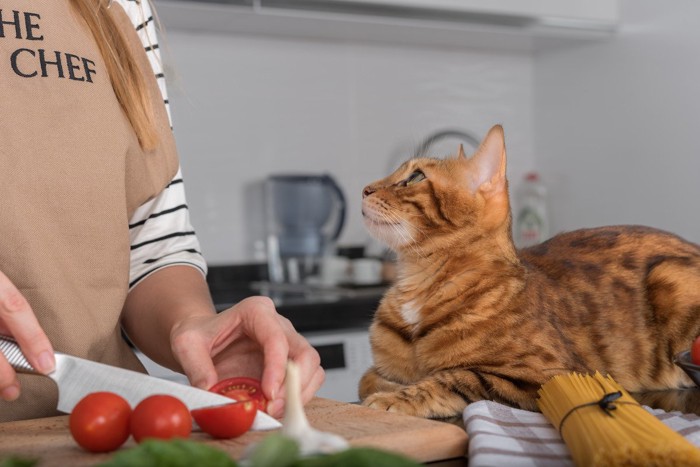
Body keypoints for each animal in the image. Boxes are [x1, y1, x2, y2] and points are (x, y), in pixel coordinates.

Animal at [358, 125, 700, 420]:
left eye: (415, 177)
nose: (364, 189)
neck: (418, 281)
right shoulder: (378, 368)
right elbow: (367, 379)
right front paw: (389, 387)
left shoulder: (551, 375)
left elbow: (454, 377)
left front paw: (396, 398)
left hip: (669, 279)